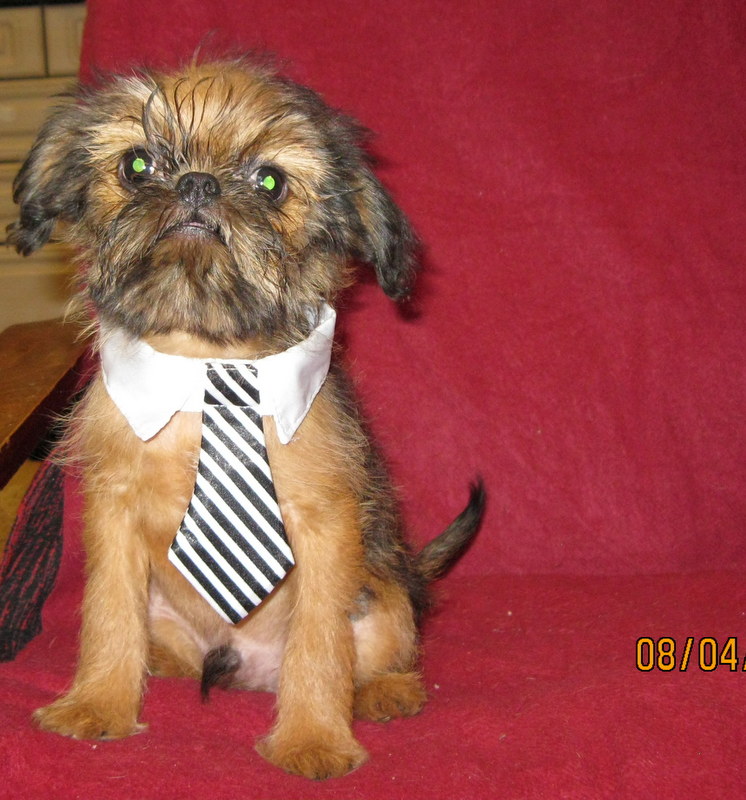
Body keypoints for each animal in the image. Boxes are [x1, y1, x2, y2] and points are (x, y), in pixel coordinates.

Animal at [8, 57, 484, 779]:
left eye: (268, 182)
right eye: (137, 166)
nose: (197, 183)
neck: (205, 356)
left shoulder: (325, 526)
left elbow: (319, 644)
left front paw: (313, 739)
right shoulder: (113, 514)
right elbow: (107, 615)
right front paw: (97, 703)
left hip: (383, 593)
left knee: (385, 645)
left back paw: (386, 690)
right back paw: (155, 665)